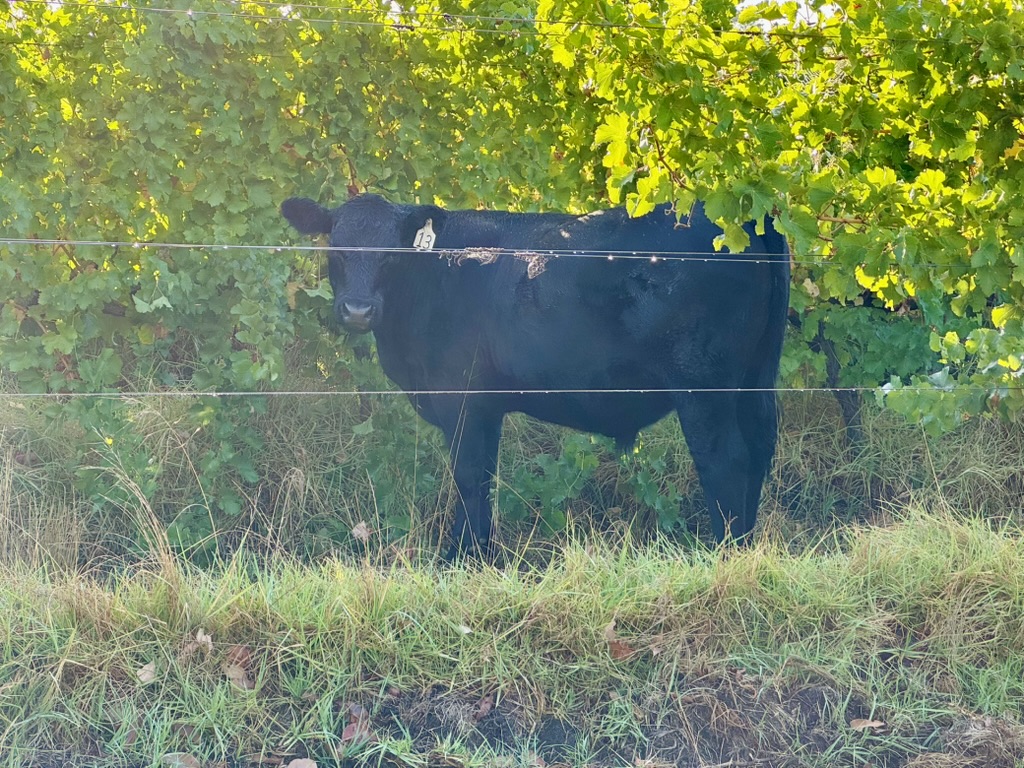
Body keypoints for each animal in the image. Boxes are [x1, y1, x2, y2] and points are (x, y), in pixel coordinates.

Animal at [281, 193, 791, 558]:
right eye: (336, 248)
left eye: (390, 254)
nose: (358, 310)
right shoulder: (486, 406)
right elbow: (483, 475)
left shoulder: (460, 398)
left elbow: (469, 475)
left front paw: (462, 558)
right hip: (754, 379)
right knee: (759, 447)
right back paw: (745, 544)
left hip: (703, 385)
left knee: (726, 459)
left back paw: (723, 550)